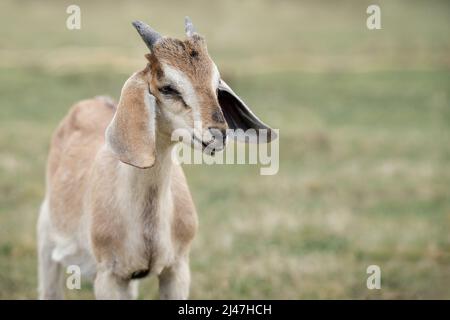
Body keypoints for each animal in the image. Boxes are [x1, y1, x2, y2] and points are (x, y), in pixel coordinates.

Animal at [37, 16, 276, 298]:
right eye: (168, 87)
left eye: (216, 85)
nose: (218, 134)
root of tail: (91, 102)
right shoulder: (109, 277)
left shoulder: (176, 269)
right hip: (47, 243)